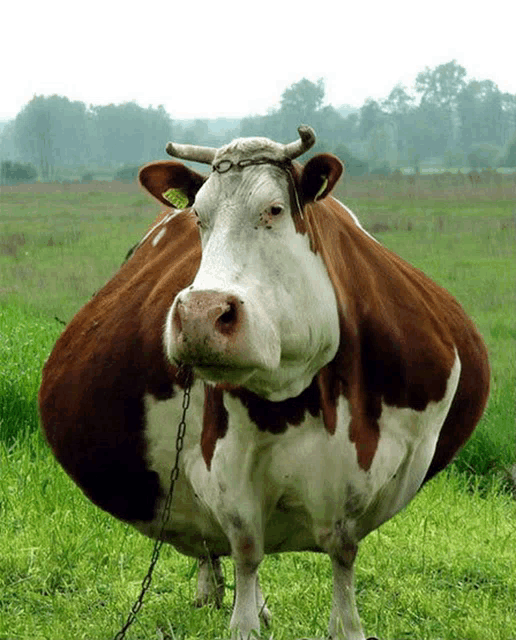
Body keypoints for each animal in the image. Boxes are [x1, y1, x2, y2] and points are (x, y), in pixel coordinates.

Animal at [39, 126, 488, 640]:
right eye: (198, 216)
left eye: (273, 209)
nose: (201, 314)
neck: (305, 396)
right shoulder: (226, 461)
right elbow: (246, 549)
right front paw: (246, 623)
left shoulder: (372, 460)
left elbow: (343, 548)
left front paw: (346, 625)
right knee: (216, 548)